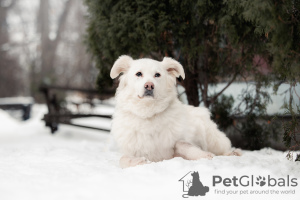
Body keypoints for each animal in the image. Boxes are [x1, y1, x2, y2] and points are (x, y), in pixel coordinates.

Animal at [110, 55, 241, 168]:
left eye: (157, 75)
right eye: (138, 74)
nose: (149, 86)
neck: (149, 114)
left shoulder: (175, 144)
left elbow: (182, 145)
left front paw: (204, 155)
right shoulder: (131, 150)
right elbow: (123, 159)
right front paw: (140, 161)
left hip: (212, 139)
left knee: (225, 148)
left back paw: (233, 153)